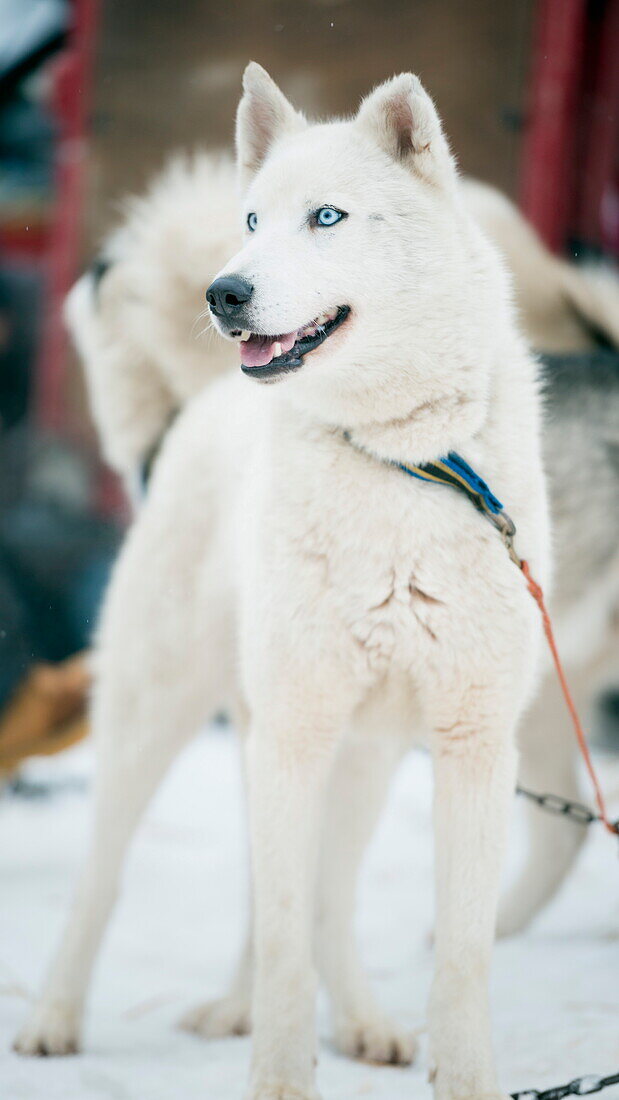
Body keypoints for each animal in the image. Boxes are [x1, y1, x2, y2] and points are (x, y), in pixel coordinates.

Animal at [14, 64, 549, 1095]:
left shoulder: (471, 746)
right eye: (255, 219)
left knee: (324, 896)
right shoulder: (296, 736)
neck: (399, 461)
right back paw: (57, 1018)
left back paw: (358, 1022)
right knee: (111, 877)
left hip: (358, 754)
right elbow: (282, 940)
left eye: (326, 217)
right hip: (162, 716)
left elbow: (458, 952)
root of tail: (194, 408)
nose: (225, 290)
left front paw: (461, 1076)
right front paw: (278, 1071)